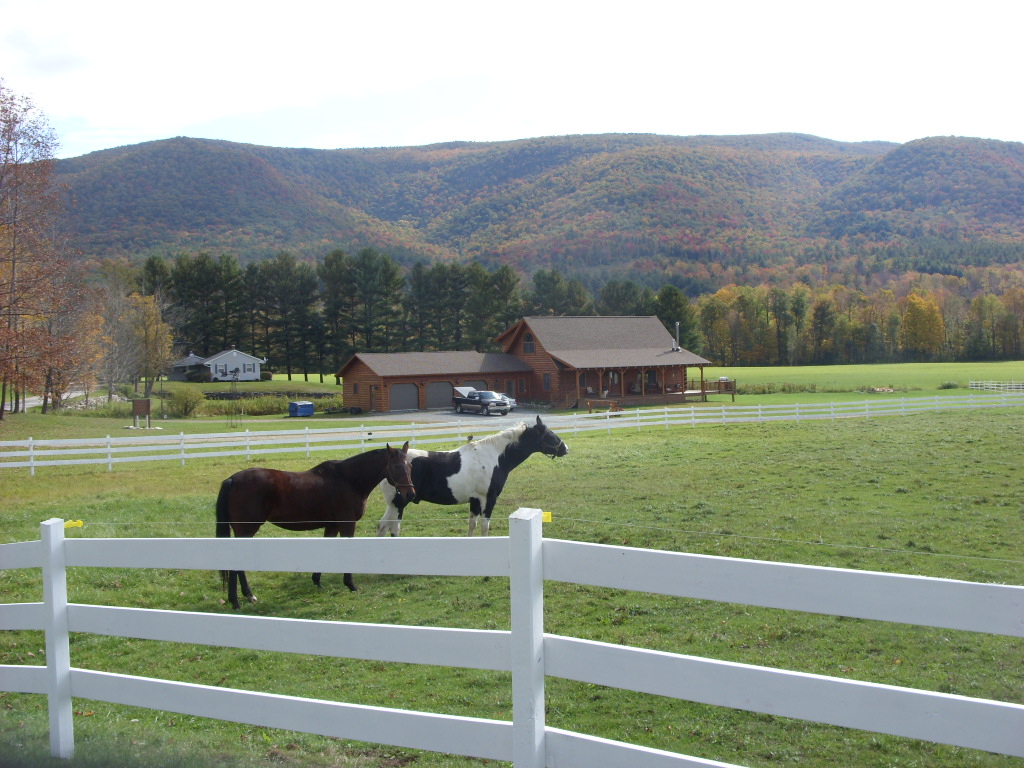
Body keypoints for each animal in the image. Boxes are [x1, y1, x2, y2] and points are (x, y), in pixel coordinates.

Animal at [215, 442, 414, 609]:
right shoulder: (347, 524)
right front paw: (351, 585)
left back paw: (248, 596)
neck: (348, 479)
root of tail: (232, 480)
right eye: (396, 466)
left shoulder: (332, 525)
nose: (410, 494)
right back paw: (236, 601)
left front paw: (317, 581)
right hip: (247, 529)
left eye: (410, 466)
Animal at [376, 416, 568, 537]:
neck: (494, 456)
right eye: (551, 435)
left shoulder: (474, 500)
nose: (565, 448)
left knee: (384, 527)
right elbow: (484, 526)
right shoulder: (488, 499)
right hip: (398, 504)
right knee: (389, 527)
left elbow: (472, 525)